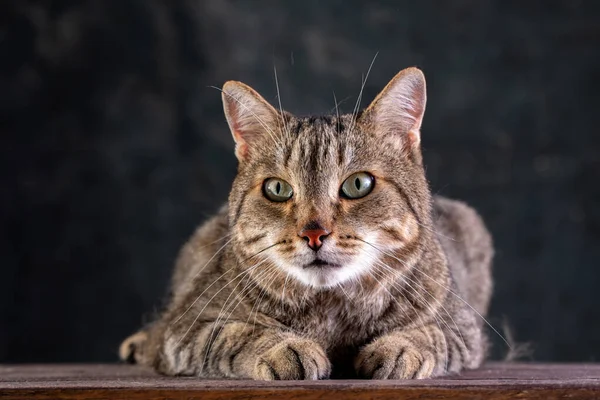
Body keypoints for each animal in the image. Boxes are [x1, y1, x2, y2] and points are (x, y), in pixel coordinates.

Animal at [119, 67, 494, 380]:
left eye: (358, 184)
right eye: (277, 189)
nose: (313, 233)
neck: (330, 315)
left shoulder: (463, 328)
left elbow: (431, 334)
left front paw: (398, 348)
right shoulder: (186, 327)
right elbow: (234, 332)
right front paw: (285, 348)